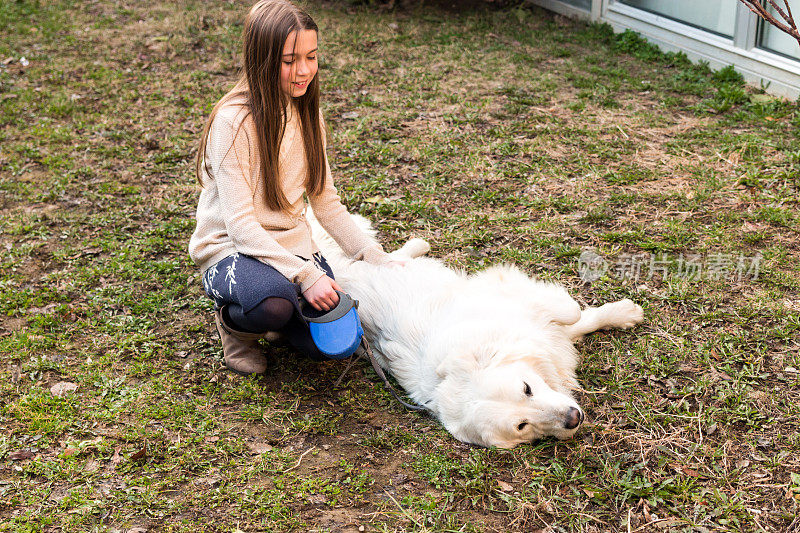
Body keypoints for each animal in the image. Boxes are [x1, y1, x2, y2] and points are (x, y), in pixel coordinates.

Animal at [310, 214, 644, 446]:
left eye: (527, 388)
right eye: (522, 426)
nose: (573, 419)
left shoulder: (514, 303)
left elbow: (573, 312)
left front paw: (625, 312)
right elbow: (571, 322)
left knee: (384, 253)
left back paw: (416, 244)